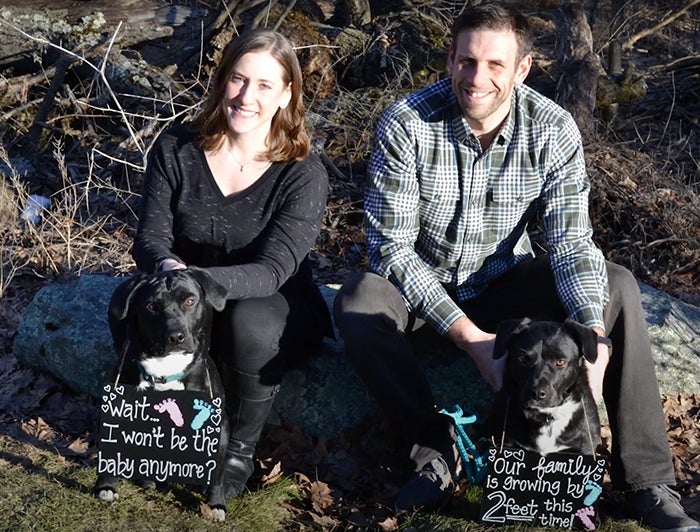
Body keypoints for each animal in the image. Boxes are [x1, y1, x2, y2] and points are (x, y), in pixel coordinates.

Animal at [92, 270, 230, 520]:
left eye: (190, 301)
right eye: (151, 306)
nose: (175, 336)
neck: (166, 367)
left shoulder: (220, 425)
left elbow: (217, 471)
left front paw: (216, 503)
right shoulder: (115, 412)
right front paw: (106, 486)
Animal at [492, 318, 600, 456]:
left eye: (560, 361)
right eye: (522, 359)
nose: (538, 394)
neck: (546, 416)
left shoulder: (585, 447)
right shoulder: (507, 443)